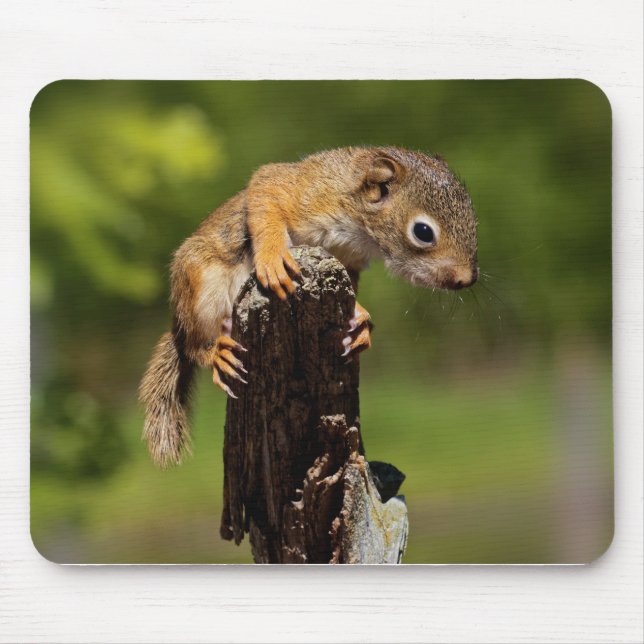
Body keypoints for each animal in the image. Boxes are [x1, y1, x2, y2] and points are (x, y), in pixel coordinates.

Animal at [139, 146, 478, 467]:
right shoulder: (303, 189)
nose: (467, 279)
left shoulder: (348, 259)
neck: (360, 225)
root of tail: (178, 324)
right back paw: (215, 351)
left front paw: (361, 321)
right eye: (423, 232)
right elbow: (266, 192)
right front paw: (273, 257)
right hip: (200, 287)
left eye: (473, 220)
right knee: (193, 345)